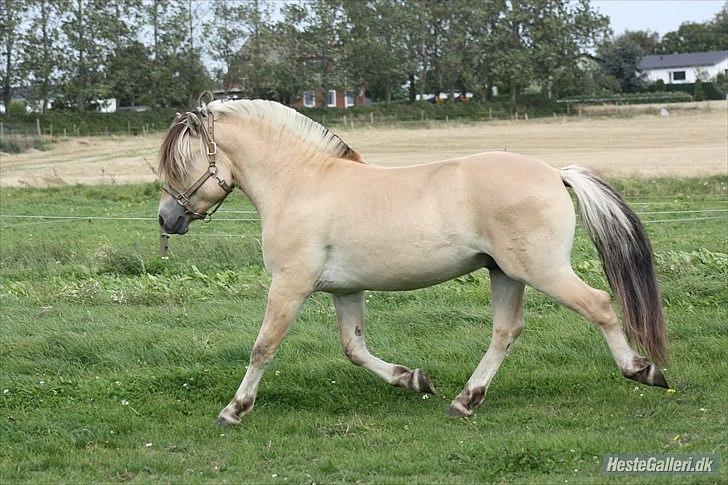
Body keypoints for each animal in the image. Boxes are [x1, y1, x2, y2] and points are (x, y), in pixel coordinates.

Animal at [156, 97, 668, 424]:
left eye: (180, 162)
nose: (167, 218)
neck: (299, 183)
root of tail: (554, 172)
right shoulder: (345, 290)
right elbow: (354, 348)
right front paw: (413, 379)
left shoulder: (289, 285)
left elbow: (263, 347)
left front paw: (234, 410)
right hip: (505, 274)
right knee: (506, 332)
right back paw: (465, 400)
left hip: (542, 271)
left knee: (599, 305)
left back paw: (642, 370)